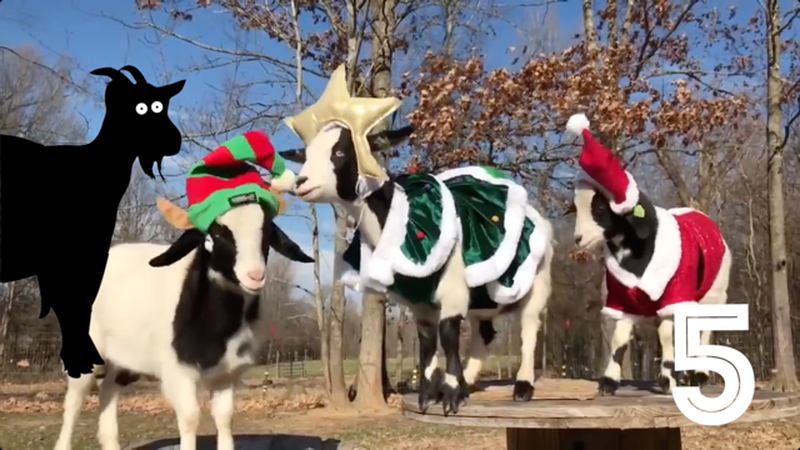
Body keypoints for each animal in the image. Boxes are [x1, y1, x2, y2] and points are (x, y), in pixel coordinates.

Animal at [53, 199, 313, 450]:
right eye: (214, 236)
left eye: (267, 232)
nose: (255, 276)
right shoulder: (178, 371)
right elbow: (190, 418)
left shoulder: (227, 374)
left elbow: (225, 418)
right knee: (74, 400)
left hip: (125, 357)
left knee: (109, 389)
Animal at [279, 65, 554, 415]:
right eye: (307, 153)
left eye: (340, 151)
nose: (301, 182)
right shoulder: (419, 302)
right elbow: (426, 342)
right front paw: (430, 395)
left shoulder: (452, 287)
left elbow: (448, 333)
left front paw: (450, 396)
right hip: (482, 296)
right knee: (485, 334)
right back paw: (468, 381)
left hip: (537, 280)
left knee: (529, 327)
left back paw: (522, 386)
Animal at [565, 114, 731, 395]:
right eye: (576, 208)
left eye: (600, 207)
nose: (579, 239)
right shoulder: (621, 298)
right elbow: (620, 338)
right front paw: (609, 382)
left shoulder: (673, 293)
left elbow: (666, 336)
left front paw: (667, 380)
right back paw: (686, 375)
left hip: (713, 292)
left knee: (704, 328)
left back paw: (698, 374)